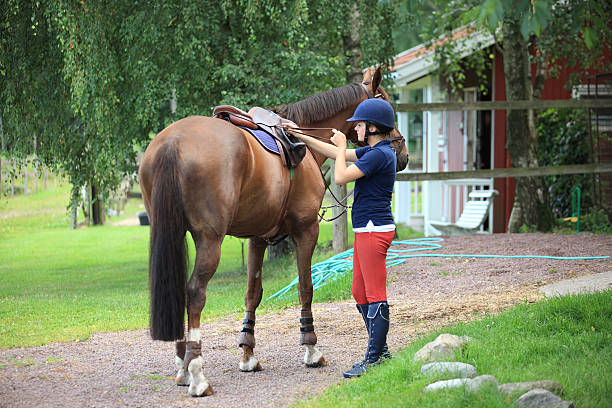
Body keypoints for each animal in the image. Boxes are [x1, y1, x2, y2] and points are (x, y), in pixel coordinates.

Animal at [138, 67, 406, 396]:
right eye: (389, 106)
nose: (401, 153)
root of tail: (173, 141)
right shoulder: (306, 230)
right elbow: (306, 287)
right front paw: (311, 348)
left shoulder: (258, 238)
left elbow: (252, 294)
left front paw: (247, 354)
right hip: (210, 240)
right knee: (195, 293)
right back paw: (197, 374)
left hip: (175, 234)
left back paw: (182, 366)